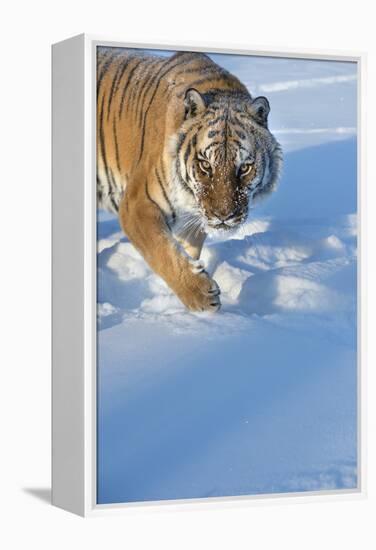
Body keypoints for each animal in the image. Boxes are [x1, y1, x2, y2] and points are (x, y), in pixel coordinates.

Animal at [97, 46, 282, 314]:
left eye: (244, 168)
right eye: (206, 165)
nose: (223, 216)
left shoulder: (193, 220)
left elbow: (186, 250)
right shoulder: (137, 205)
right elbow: (163, 252)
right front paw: (202, 297)